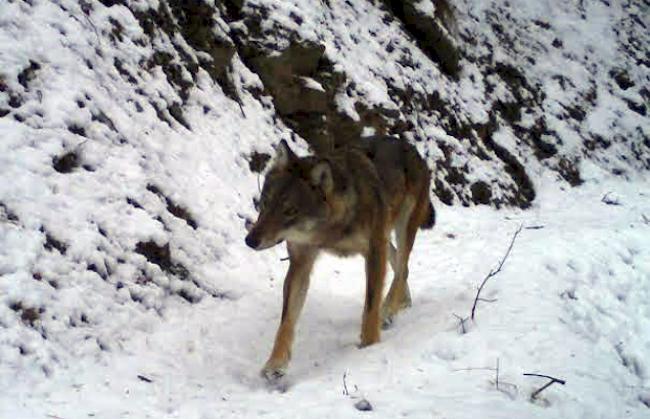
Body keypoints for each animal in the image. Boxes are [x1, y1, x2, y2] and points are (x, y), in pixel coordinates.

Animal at [246, 138, 432, 380]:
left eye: (290, 211)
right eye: (265, 202)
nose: (250, 240)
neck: (330, 229)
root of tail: (411, 148)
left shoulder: (373, 251)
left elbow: (370, 307)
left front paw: (369, 347)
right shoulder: (300, 263)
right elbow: (286, 322)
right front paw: (275, 364)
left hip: (403, 228)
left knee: (401, 268)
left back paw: (389, 310)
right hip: (386, 238)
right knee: (401, 266)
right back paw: (402, 303)